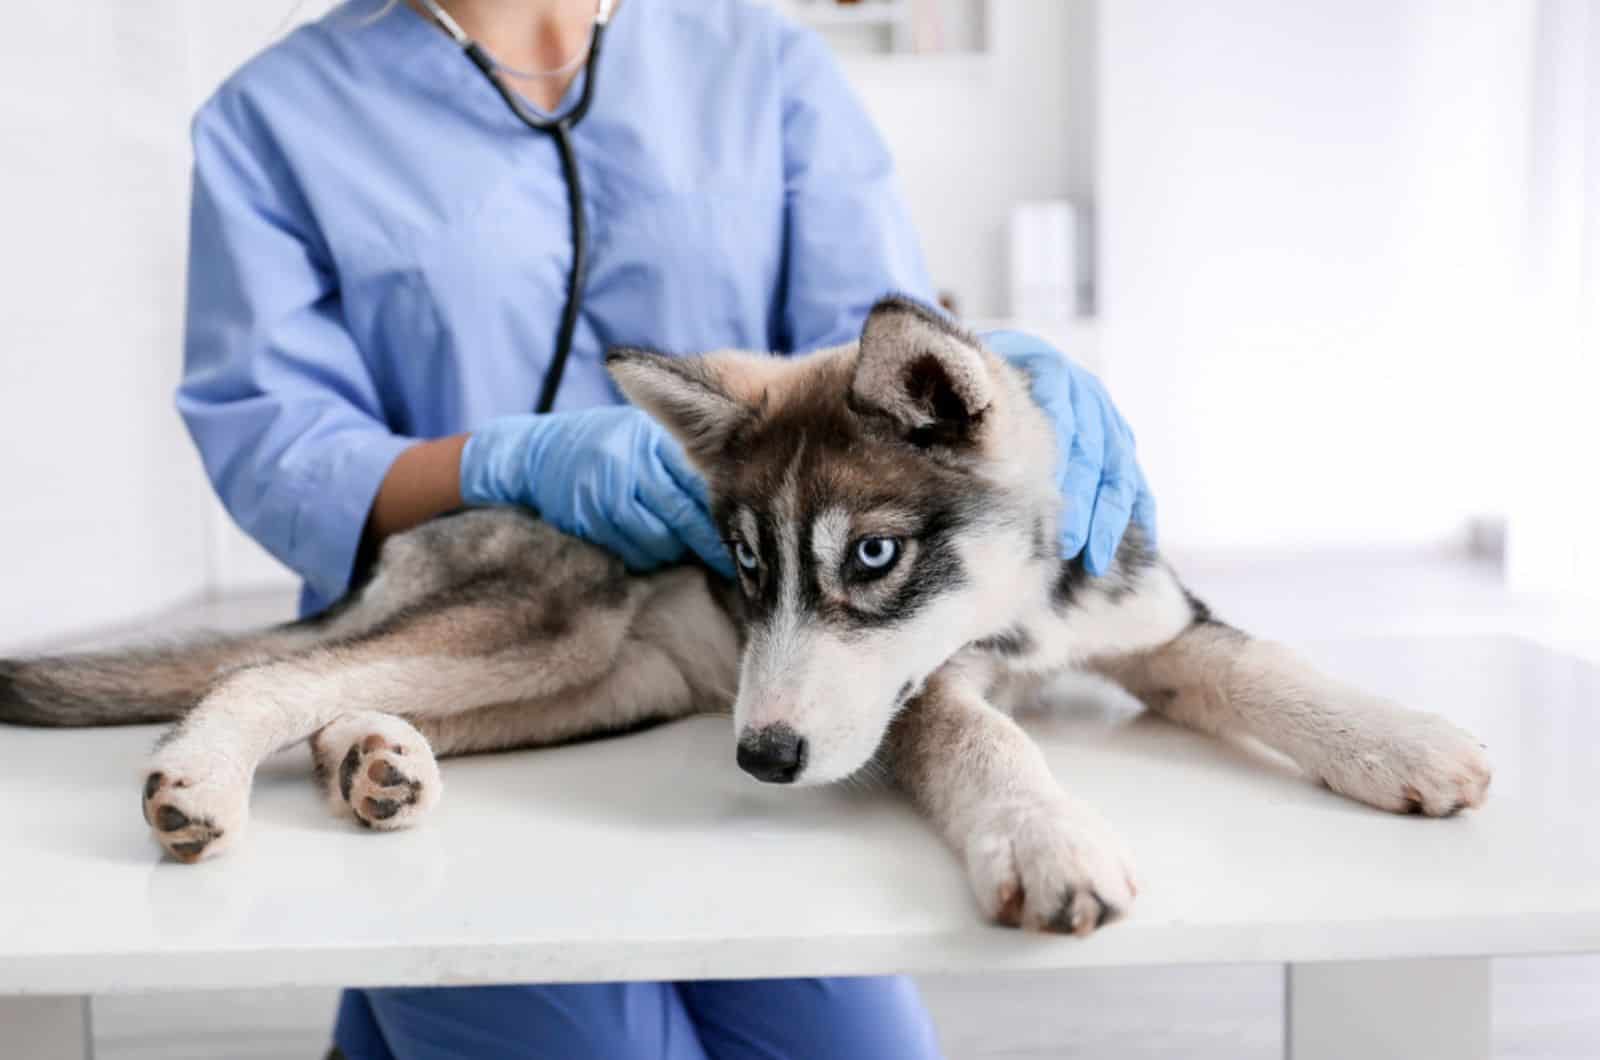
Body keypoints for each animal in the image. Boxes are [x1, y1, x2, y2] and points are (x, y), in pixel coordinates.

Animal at [0, 299, 1484, 941]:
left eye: (873, 556)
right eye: (746, 561)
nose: (763, 759)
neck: (1016, 619)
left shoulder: (1152, 617)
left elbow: (1262, 662)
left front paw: (1405, 741)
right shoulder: (918, 705)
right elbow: (995, 747)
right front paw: (1049, 841)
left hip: (595, 685)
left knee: (350, 696)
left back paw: (372, 760)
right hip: (548, 622)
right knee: (275, 677)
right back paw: (208, 774)